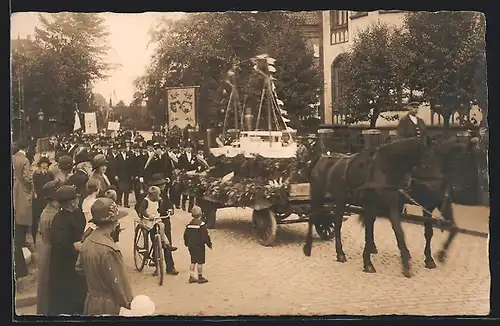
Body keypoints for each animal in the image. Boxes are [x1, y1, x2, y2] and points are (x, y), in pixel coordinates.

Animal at [302, 137, 428, 278]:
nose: (407, 184)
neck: (383, 170)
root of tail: (321, 157)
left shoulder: (391, 206)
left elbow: (398, 232)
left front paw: (406, 265)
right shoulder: (370, 206)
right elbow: (368, 232)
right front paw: (368, 263)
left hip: (339, 200)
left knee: (334, 222)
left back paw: (338, 252)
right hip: (318, 196)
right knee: (315, 218)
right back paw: (310, 248)